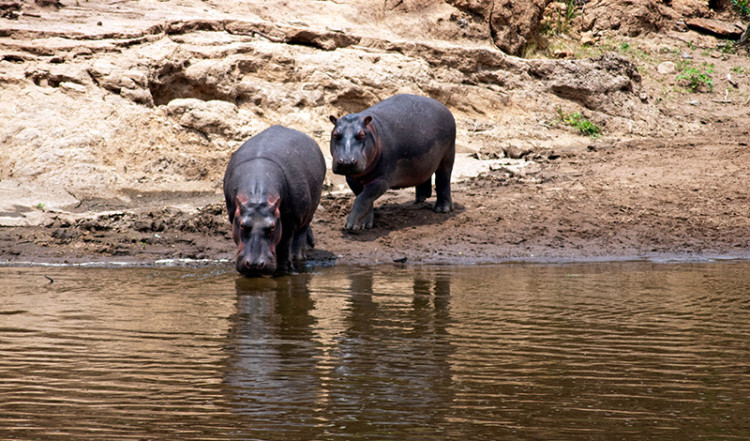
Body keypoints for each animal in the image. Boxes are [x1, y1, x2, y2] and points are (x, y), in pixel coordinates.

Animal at [225, 124, 328, 276]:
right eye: (242, 226)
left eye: (272, 227)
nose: (254, 265)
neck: (257, 198)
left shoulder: (290, 219)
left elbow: (284, 244)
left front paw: (283, 269)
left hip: (309, 209)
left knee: (301, 232)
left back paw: (297, 257)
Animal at [330, 93, 458, 230]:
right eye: (335, 134)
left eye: (362, 134)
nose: (346, 161)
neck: (374, 132)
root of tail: (444, 107)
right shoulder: (351, 179)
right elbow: (364, 198)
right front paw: (365, 224)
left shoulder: (381, 180)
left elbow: (363, 198)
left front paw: (351, 225)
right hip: (424, 161)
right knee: (424, 175)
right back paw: (420, 199)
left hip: (447, 157)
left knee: (443, 180)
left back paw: (442, 209)